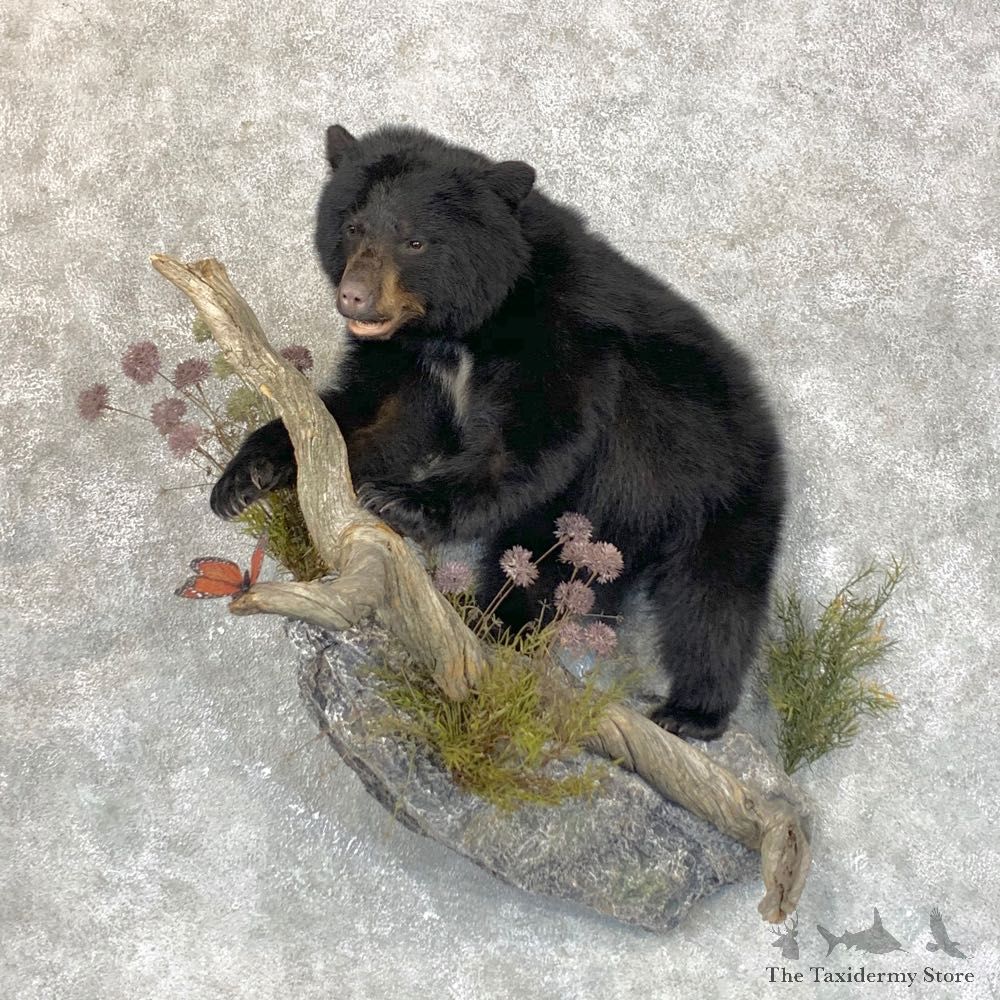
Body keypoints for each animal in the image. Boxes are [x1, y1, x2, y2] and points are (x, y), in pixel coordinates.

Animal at [211, 123, 785, 740]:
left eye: (415, 242)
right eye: (352, 226)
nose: (354, 296)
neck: (463, 329)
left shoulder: (566, 339)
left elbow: (532, 437)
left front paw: (403, 501)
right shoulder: (412, 366)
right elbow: (371, 421)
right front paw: (245, 478)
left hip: (705, 487)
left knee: (707, 599)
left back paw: (685, 709)